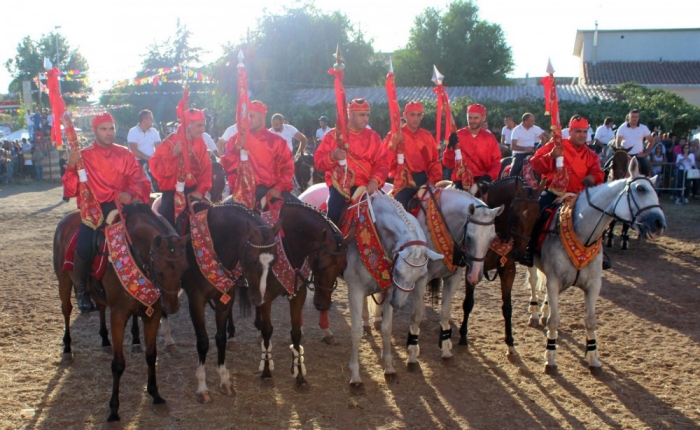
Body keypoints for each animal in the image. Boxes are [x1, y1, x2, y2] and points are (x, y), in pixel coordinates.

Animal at [53, 203, 189, 422]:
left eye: (184, 267)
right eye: (159, 271)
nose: (172, 307)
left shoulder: (153, 314)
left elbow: (151, 355)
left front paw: (155, 393)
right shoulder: (118, 315)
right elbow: (118, 364)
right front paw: (114, 409)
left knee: (100, 307)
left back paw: (104, 340)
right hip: (64, 281)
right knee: (66, 310)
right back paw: (67, 349)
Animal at [404, 186, 504, 364]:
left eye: (492, 238)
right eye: (470, 237)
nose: (475, 276)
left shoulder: (453, 278)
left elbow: (445, 312)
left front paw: (445, 347)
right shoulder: (421, 279)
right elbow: (417, 315)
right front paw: (413, 352)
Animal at [460, 176, 540, 358]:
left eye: (536, 217)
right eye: (515, 214)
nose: (519, 254)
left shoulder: (508, 270)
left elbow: (507, 308)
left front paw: (510, 343)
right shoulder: (471, 268)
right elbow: (468, 302)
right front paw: (462, 336)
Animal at [528, 160, 664, 374]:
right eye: (640, 189)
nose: (659, 222)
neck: (583, 234)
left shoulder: (593, 285)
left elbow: (591, 321)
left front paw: (593, 357)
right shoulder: (554, 281)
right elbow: (554, 320)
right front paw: (550, 357)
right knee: (534, 283)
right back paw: (534, 314)